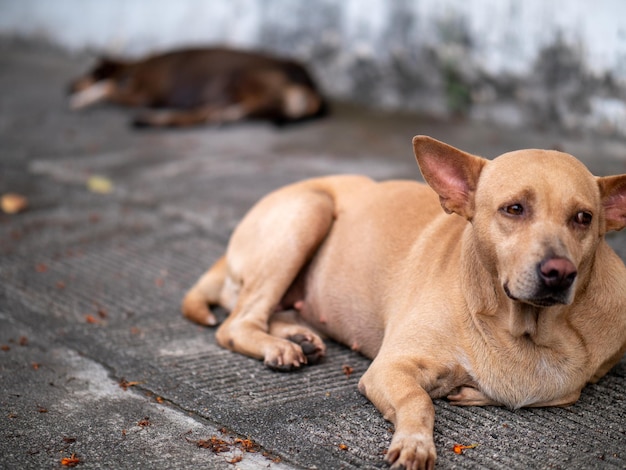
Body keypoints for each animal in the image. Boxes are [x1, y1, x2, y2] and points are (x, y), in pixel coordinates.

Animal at [68, 47, 326, 126]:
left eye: (89, 72)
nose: (67, 87)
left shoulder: (143, 95)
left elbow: (107, 88)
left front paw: (81, 99)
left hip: (238, 79)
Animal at [180, 136, 624, 470]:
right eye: (514, 209)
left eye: (583, 218)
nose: (560, 272)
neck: (526, 328)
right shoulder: (389, 368)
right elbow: (418, 400)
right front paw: (416, 441)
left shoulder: (574, 379)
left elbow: (557, 389)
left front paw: (468, 390)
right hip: (309, 211)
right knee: (236, 324)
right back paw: (278, 346)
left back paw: (297, 336)